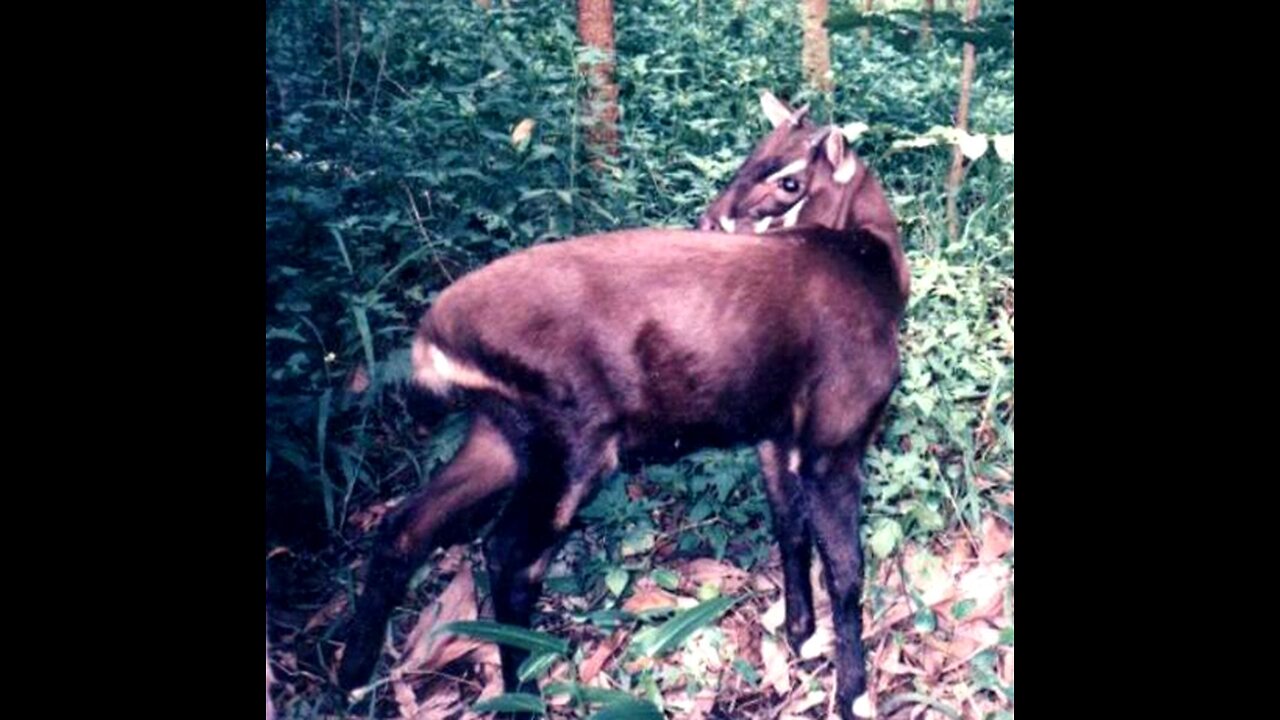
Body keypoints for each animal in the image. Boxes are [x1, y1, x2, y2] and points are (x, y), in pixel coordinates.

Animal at [336, 92, 908, 720]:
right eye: (756, 156)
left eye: (788, 179)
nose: (710, 220)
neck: (873, 265)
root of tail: (434, 335)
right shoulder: (836, 435)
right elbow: (847, 569)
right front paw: (855, 695)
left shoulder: (777, 434)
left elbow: (790, 528)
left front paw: (802, 637)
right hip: (573, 443)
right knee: (507, 554)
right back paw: (522, 695)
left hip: (502, 434)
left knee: (404, 523)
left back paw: (353, 677)